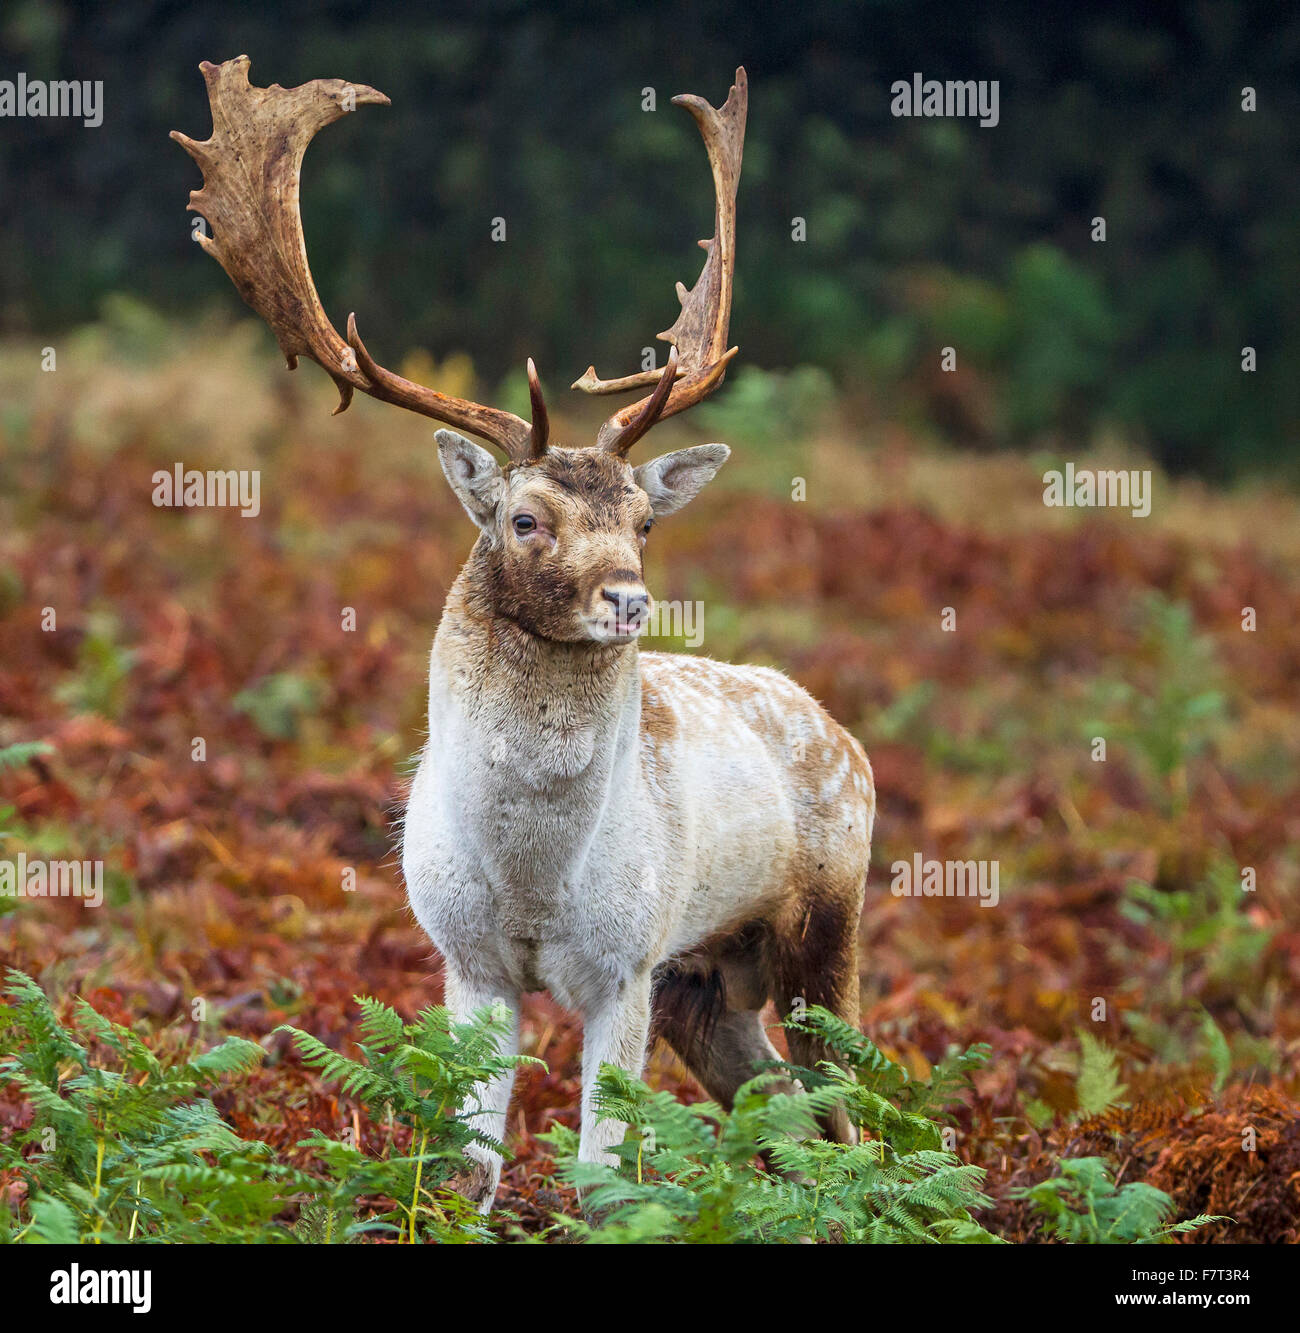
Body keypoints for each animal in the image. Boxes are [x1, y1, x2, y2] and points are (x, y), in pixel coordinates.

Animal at [174, 56, 875, 1209]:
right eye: (524, 518)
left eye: (642, 519)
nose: (627, 598)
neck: (533, 880)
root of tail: (845, 734)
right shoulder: (466, 957)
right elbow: (469, 1165)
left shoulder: (626, 963)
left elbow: (602, 1174)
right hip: (704, 981)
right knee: (790, 1111)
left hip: (826, 923)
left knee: (858, 1112)